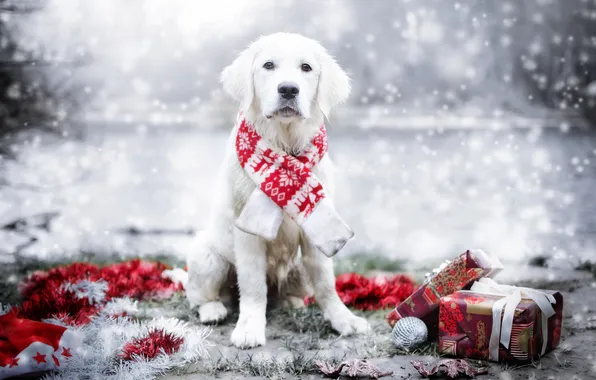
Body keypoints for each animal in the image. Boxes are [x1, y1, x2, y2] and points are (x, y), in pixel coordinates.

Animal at [184, 33, 370, 350]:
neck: (285, 144)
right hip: (208, 257)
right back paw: (213, 310)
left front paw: (343, 320)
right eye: (268, 65)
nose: (288, 89)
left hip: (297, 268)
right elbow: (253, 286)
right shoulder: (246, 232)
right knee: (200, 295)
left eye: (306, 68)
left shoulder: (316, 232)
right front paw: (249, 329)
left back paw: (291, 303)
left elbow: (326, 282)